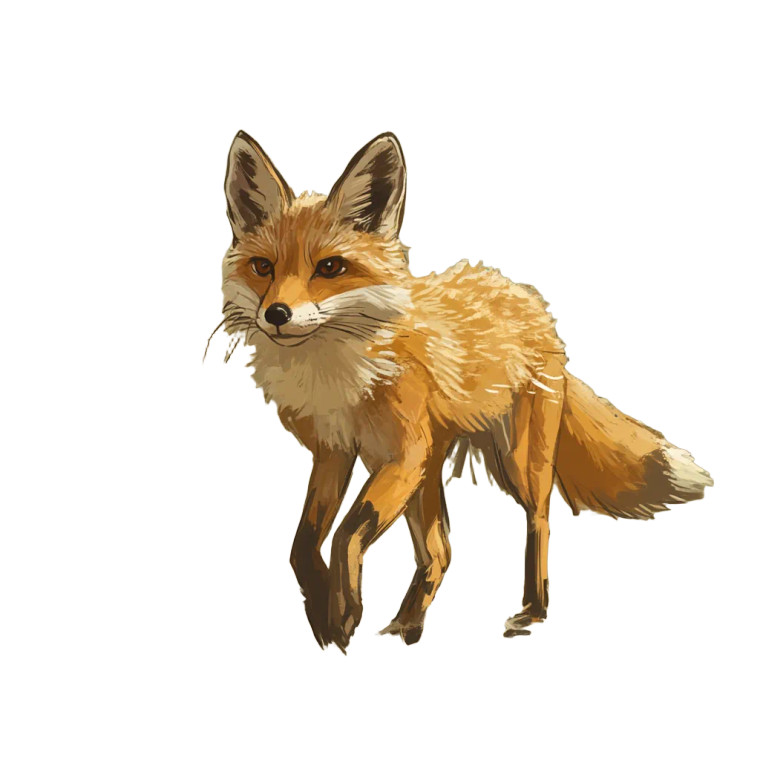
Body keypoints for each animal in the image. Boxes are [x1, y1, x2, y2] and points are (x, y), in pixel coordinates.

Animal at [216, 130, 713, 651]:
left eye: (330, 267)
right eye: (262, 267)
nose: (276, 314)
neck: (342, 371)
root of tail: (529, 299)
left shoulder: (403, 454)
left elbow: (347, 533)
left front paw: (344, 610)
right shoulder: (336, 453)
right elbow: (303, 542)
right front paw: (323, 613)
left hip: (516, 461)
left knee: (539, 521)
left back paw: (532, 611)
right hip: (427, 475)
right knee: (441, 551)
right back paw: (407, 627)